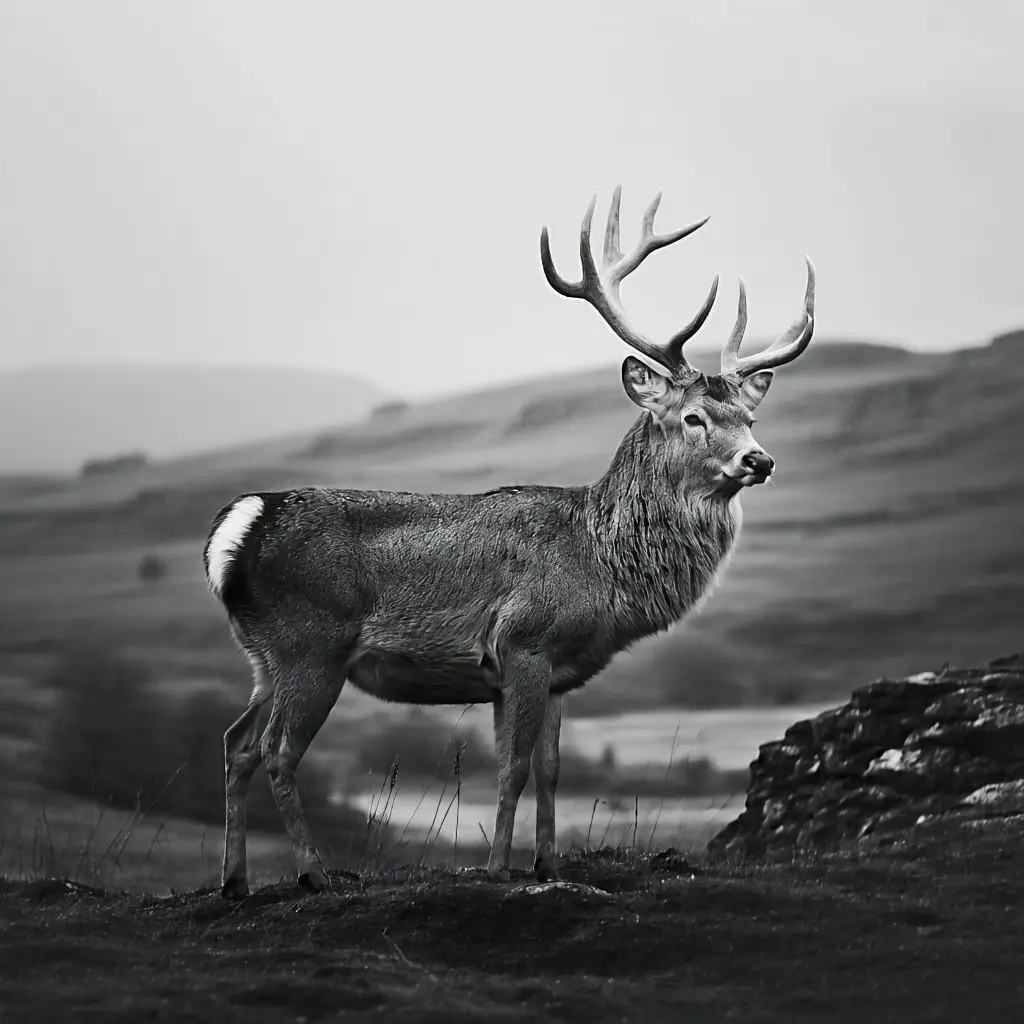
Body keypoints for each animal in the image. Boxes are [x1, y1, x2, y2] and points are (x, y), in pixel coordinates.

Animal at [204, 186, 815, 899]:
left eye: (749, 416)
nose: (759, 460)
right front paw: (498, 867)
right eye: (694, 417)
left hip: (265, 657)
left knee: (236, 742)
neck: (601, 564)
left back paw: (235, 881)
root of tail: (238, 531)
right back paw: (312, 873)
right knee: (277, 749)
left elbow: (550, 770)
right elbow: (513, 767)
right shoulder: (522, 641)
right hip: (311, 645)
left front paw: (550, 865)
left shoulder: (559, 671)